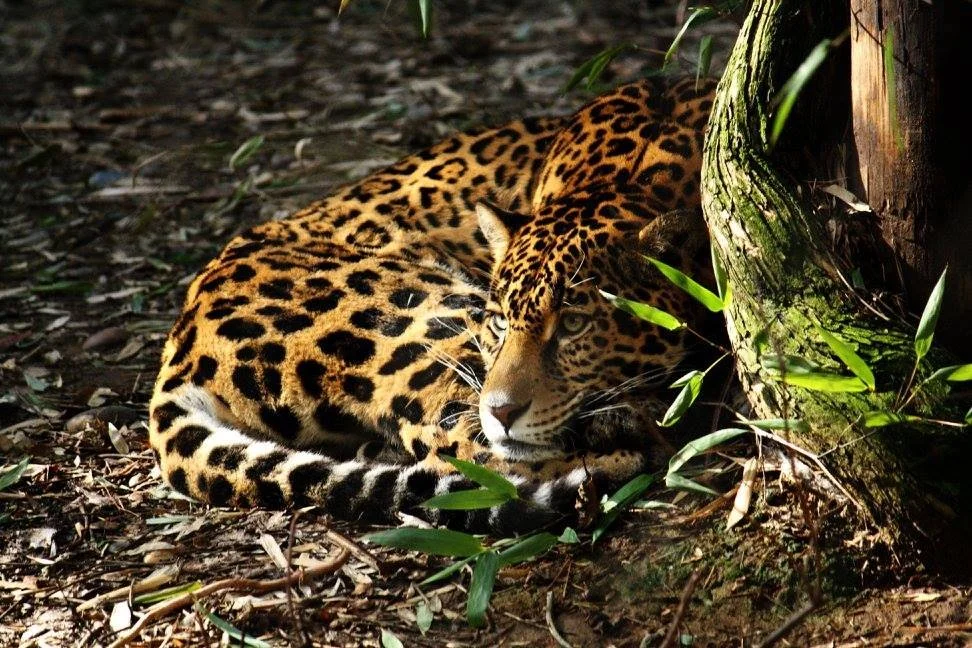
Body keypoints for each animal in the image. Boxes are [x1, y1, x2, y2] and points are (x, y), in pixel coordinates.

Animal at [148, 75, 718, 533]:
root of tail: (179, 341)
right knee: (472, 449)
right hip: (425, 322)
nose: (502, 410)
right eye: (500, 322)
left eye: (576, 324)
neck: (632, 173)